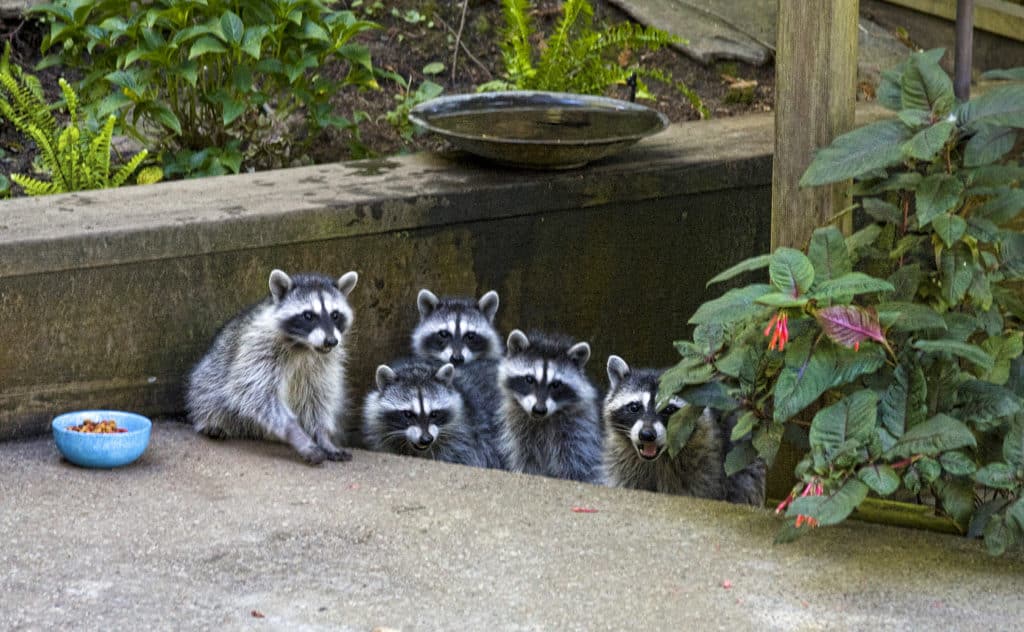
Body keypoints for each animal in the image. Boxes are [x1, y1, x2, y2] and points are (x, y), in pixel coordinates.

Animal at [186, 268, 358, 465]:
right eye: (308, 316)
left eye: (335, 315)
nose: (331, 341)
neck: (304, 346)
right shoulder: (258, 349)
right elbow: (257, 393)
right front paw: (298, 435)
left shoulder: (324, 365)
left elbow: (318, 398)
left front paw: (323, 436)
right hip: (210, 372)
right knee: (207, 390)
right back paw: (212, 421)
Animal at [493, 329, 598, 483]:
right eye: (529, 379)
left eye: (556, 385)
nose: (539, 410)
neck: (541, 420)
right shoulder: (520, 432)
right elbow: (526, 459)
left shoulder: (577, 430)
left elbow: (577, 462)